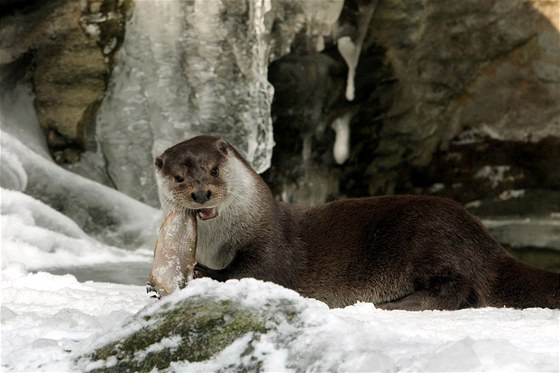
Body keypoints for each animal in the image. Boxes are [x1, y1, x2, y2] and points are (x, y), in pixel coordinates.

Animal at [149, 135, 560, 310]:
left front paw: (202, 273)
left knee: (459, 288)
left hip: (428, 237)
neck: (219, 245)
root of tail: (484, 239)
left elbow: (256, 272)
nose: (202, 193)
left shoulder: (272, 243)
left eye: (214, 170)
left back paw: (397, 304)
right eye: (179, 178)